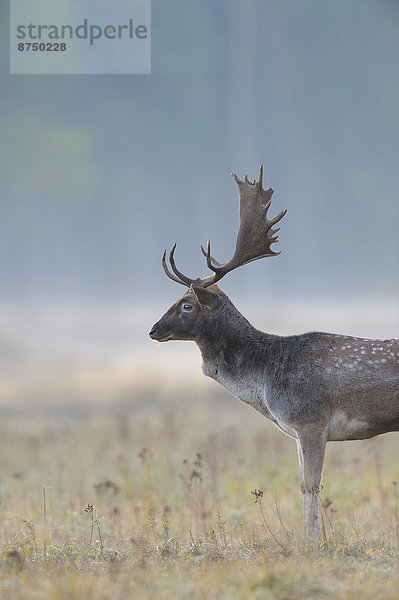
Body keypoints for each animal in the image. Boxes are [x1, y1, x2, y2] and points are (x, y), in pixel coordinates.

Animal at [151, 165, 399, 540]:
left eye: (186, 305)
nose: (153, 330)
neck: (268, 379)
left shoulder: (311, 420)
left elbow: (311, 485)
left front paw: (312, 541)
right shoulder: (297, 430)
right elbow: (302, 484)